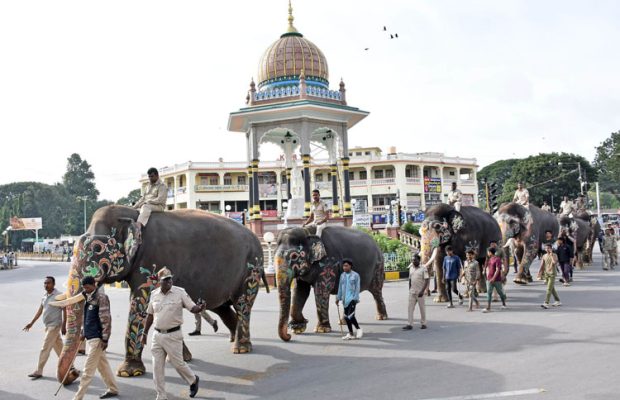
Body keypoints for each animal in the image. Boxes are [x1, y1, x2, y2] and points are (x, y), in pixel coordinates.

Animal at [52, 206, 264, 384]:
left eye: (97, 249)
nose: (74, 373)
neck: (133, 215)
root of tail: (255, 238)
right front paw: (180, 357)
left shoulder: (151, 261)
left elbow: (140, 305)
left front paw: (129, 372)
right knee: (223, 307)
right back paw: (237, 340)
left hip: (251, 267)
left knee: (242, 304)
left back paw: (241, 348)